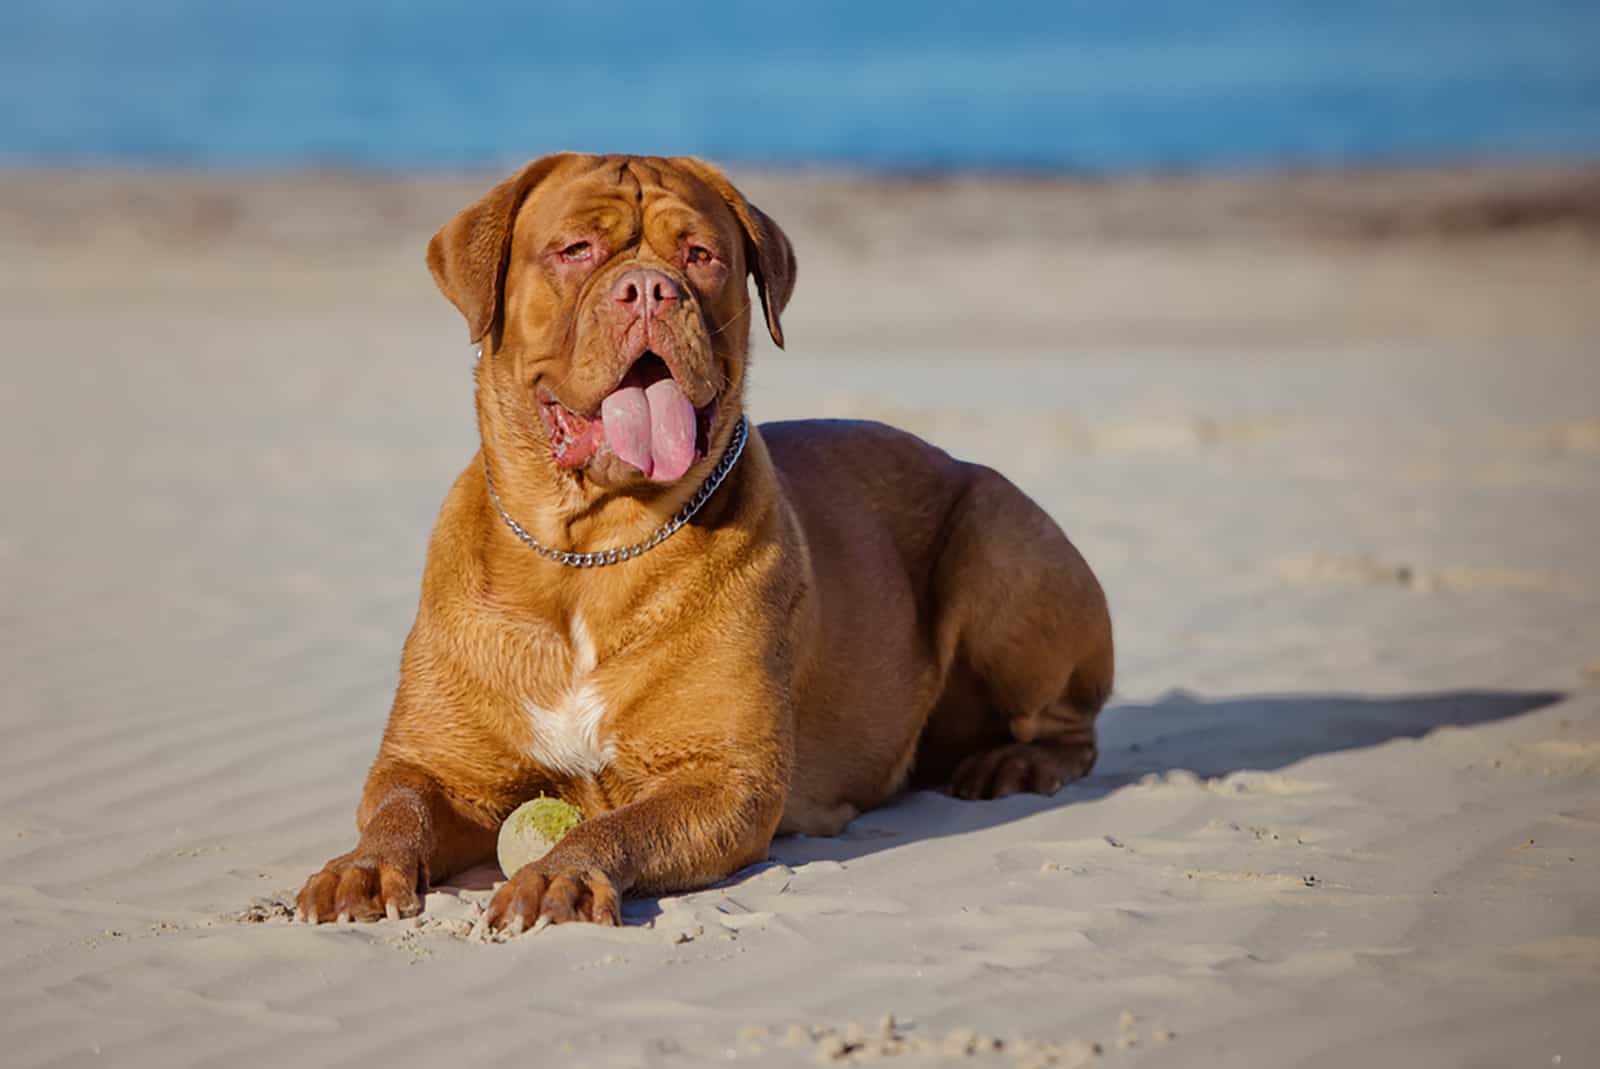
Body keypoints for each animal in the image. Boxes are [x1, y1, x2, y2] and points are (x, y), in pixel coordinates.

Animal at [294, 154, 1107, 928]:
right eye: (575, 249)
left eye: (701, 254)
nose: (650, 289)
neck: (589, 551)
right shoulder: (436, 766)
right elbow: (400, 808)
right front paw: (360, 868)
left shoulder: (721, 777)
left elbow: (618, 824)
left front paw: (560, 873)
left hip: (997, 537)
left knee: (1072, 722)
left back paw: (1015, 766)